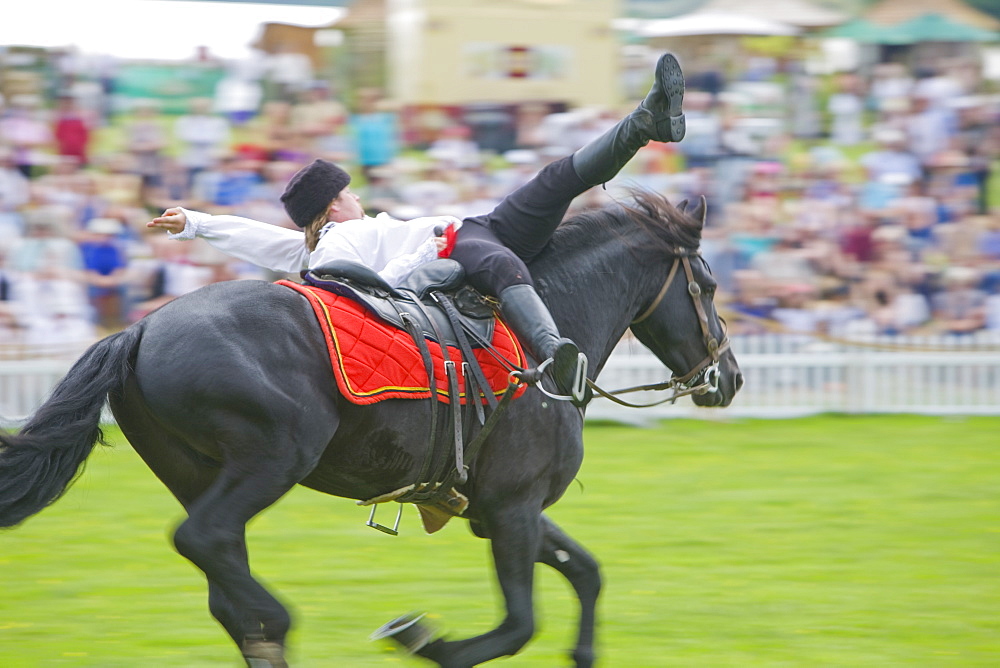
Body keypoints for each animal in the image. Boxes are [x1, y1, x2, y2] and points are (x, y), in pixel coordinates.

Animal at [1, 190, 744, 664]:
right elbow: (516, 624)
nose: (729, 377)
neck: (541, 331)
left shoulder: (502, 508)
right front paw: (424, 639)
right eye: (708, 286)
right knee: (207, 544)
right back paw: (282, 620)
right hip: (270, 462)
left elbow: (585, 575)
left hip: (198, 473)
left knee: (224, 583)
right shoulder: (513, 509)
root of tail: (138, 329)